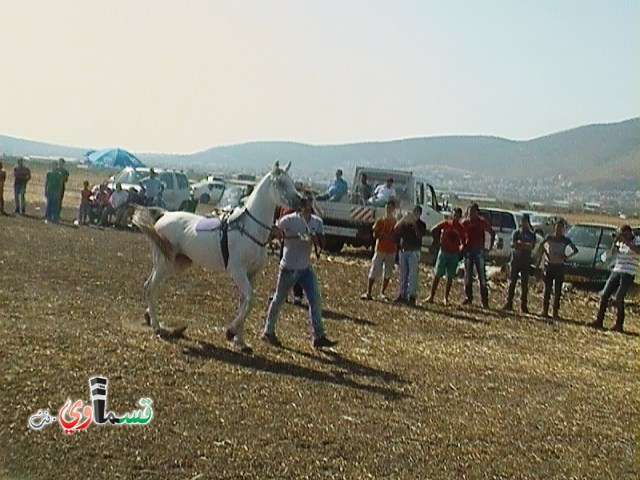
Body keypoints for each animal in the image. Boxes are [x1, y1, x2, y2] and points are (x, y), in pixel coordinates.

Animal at [133, 161, 302, 352]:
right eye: (281, 183)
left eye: (292, 182)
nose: (301, 201)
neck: (250, 229)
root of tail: (163, 215)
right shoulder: (237, 271)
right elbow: (250, 300)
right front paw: (230, 332)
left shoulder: (252, 274)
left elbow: (245, 302)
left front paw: (241, 342)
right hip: (164, 263)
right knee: (149, 287)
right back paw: (157, 326)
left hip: (174, 264)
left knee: (151, 287)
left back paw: (151, 318)